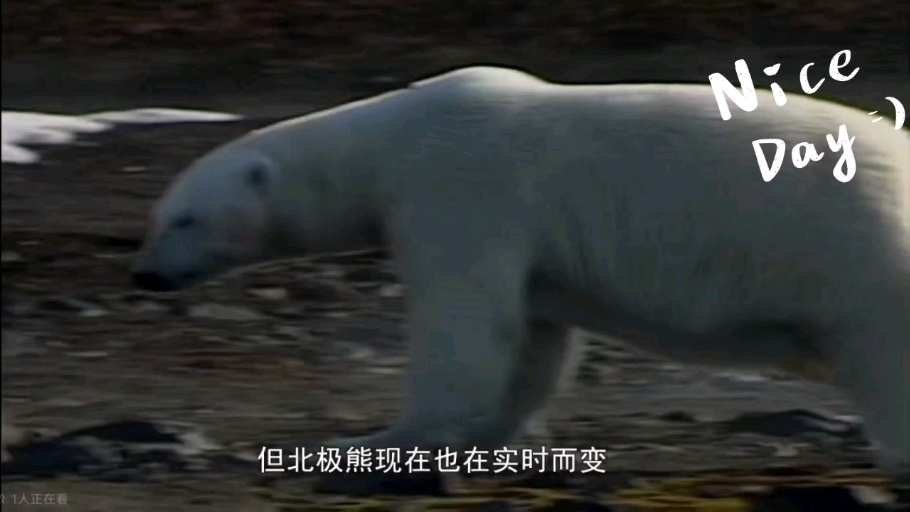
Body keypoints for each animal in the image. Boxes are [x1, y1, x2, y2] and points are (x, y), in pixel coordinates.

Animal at [132, 66, 909, 495]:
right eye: (159, 215)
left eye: (183, 219)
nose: (143, 276)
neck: (386, 143)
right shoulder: (534, 253)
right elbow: (533, 338)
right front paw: (495, 434)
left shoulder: (461, 184)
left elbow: (466, 322)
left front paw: (374, 440)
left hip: (861, 252)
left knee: (882, 352)